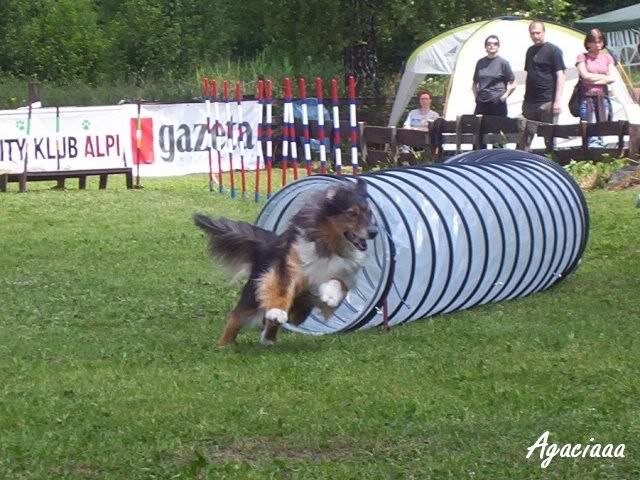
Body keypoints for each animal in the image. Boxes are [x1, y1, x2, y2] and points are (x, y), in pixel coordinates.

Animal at [194, 177, 378, 346]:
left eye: (369, 213)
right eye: (352, 213)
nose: (374, 232)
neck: (329, 247)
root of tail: (267, 244)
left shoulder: (345, 273)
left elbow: (337, 283)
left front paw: (330, 296)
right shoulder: (288, 268)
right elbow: (282, 288)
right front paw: (277, 311)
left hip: (299, 312)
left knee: (288, 317)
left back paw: (268, 338)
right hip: (253, 294)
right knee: (236, 316)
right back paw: (225, 344)